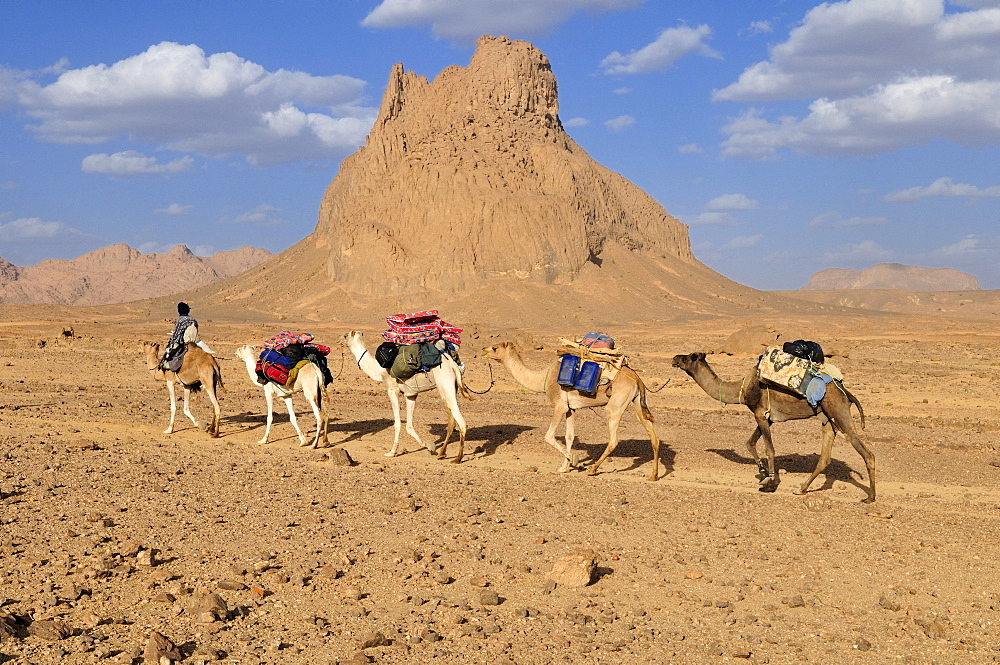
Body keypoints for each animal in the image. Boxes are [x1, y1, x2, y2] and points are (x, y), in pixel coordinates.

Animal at [342, 330, 470, 462]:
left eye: (345, 336)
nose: (340, 340)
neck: (379, 371)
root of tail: (453, 365)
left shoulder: (392, 390)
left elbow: (397, 424)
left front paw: (392, 452)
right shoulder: (411, 394)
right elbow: (409, 425)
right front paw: (427, 445)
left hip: (445, 384)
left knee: (460, 421)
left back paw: (457, 458)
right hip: (452, 386)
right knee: (452, 421)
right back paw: (442, 453)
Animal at [480, 342, 660, 478]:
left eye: (495, 348)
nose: (483, 351)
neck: (543, 378)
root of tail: (637, 378)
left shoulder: (559, 405)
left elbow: (549, 436)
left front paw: (572, 460)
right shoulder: (570, 409)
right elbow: (569, 436)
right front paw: (564, 467)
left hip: (615, 405)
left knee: (614, 439)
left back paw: (592, 469)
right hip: (637, 402)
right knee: (653, 435)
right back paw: (653, 476)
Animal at [672, 350, 876, 500]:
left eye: (688, 357)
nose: (674, 358)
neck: (742, 390)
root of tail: (845, 391)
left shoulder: (761, 414)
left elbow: (769, 449)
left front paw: (770, 483)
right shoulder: (766, 417)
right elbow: (750, 443)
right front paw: (763, 475)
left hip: (838, 410)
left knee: (866, 453)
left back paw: (870, 497)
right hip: (826, 418)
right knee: (825, 457)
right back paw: (801, 488)